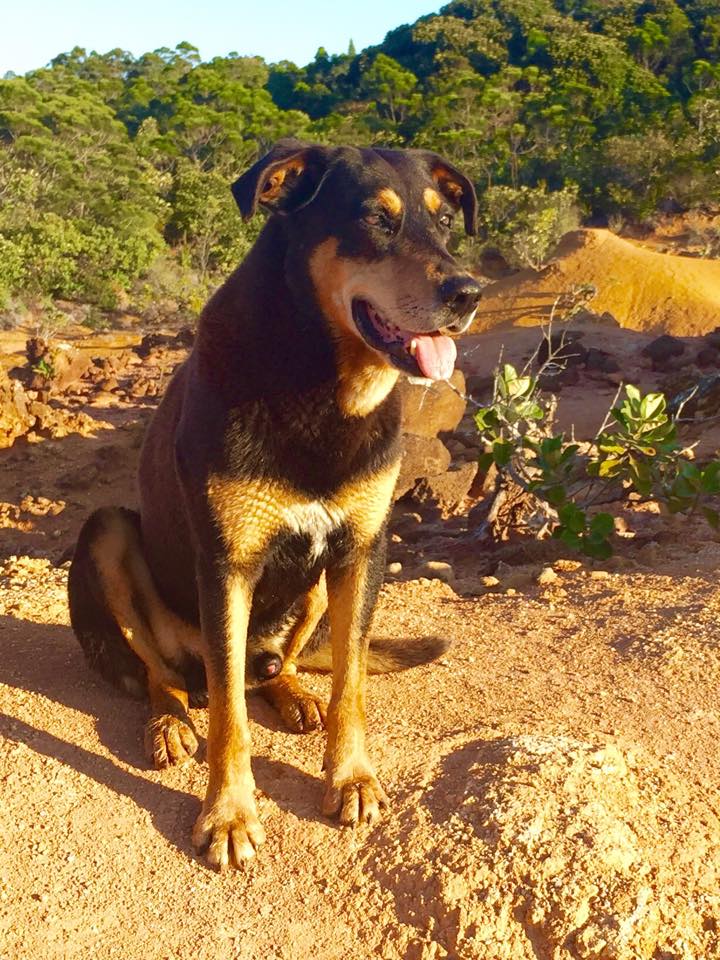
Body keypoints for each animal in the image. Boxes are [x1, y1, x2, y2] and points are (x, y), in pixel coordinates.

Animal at [68, 139, 482, 870]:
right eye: (375, 219)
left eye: (444, 222)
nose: (468, 294)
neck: (321, 379)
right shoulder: (226, 563)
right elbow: (229, 715)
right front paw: (229, 815)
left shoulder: (361, 550)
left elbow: (351, 682)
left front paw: (350, 779)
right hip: (108, 534)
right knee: (167, 672)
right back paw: (169, 721)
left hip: (313, 588)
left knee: (271, 669)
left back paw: (290, 693)